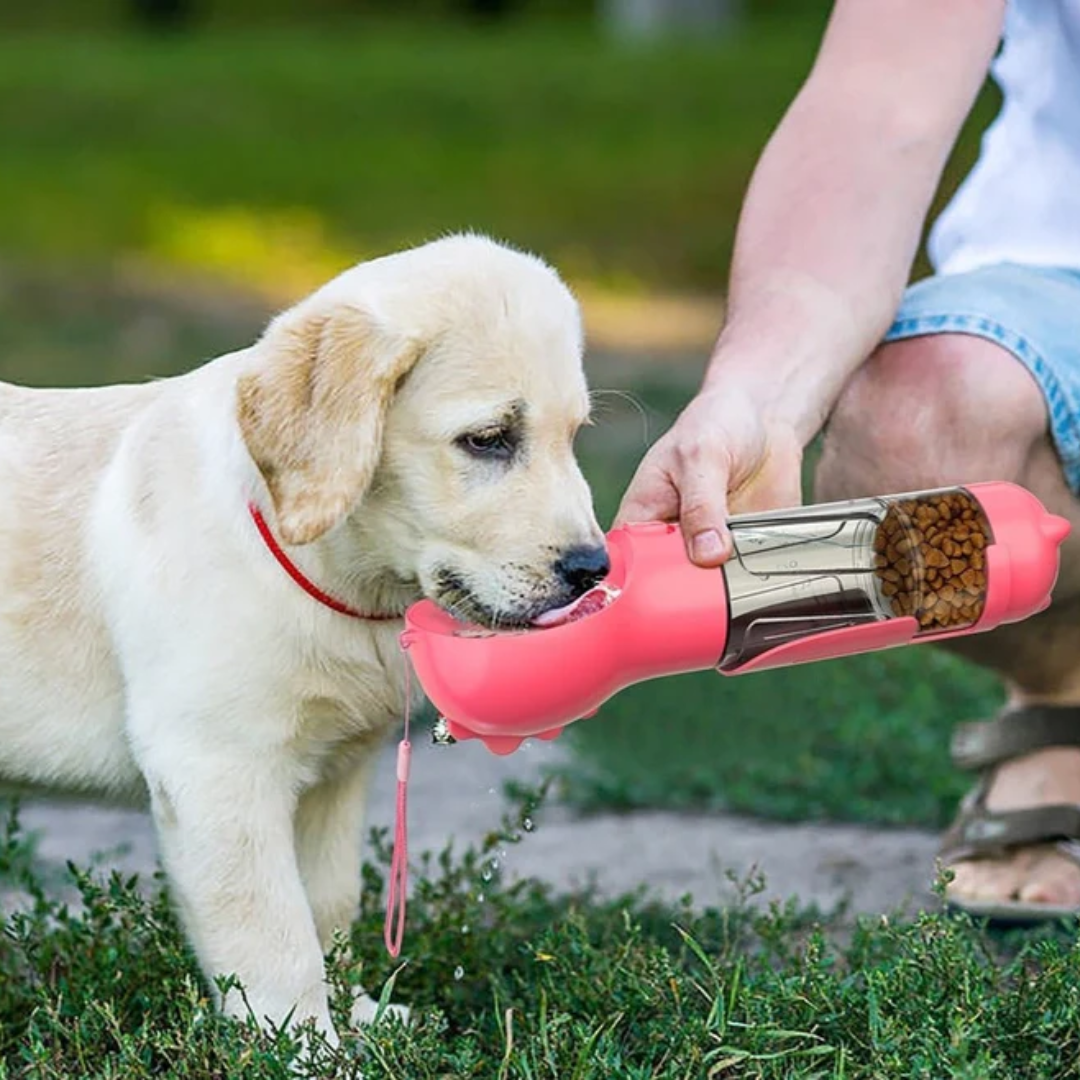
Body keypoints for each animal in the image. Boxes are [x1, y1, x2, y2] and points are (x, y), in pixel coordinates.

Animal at [0, 234, 609, 1045]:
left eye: (573, 438)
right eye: (488, 441)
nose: (594, 569)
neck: (336, 578)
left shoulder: (333, 776)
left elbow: (328, 907)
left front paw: (357, 1018)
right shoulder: (218, 770)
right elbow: (274, 934)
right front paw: (307, 1048)